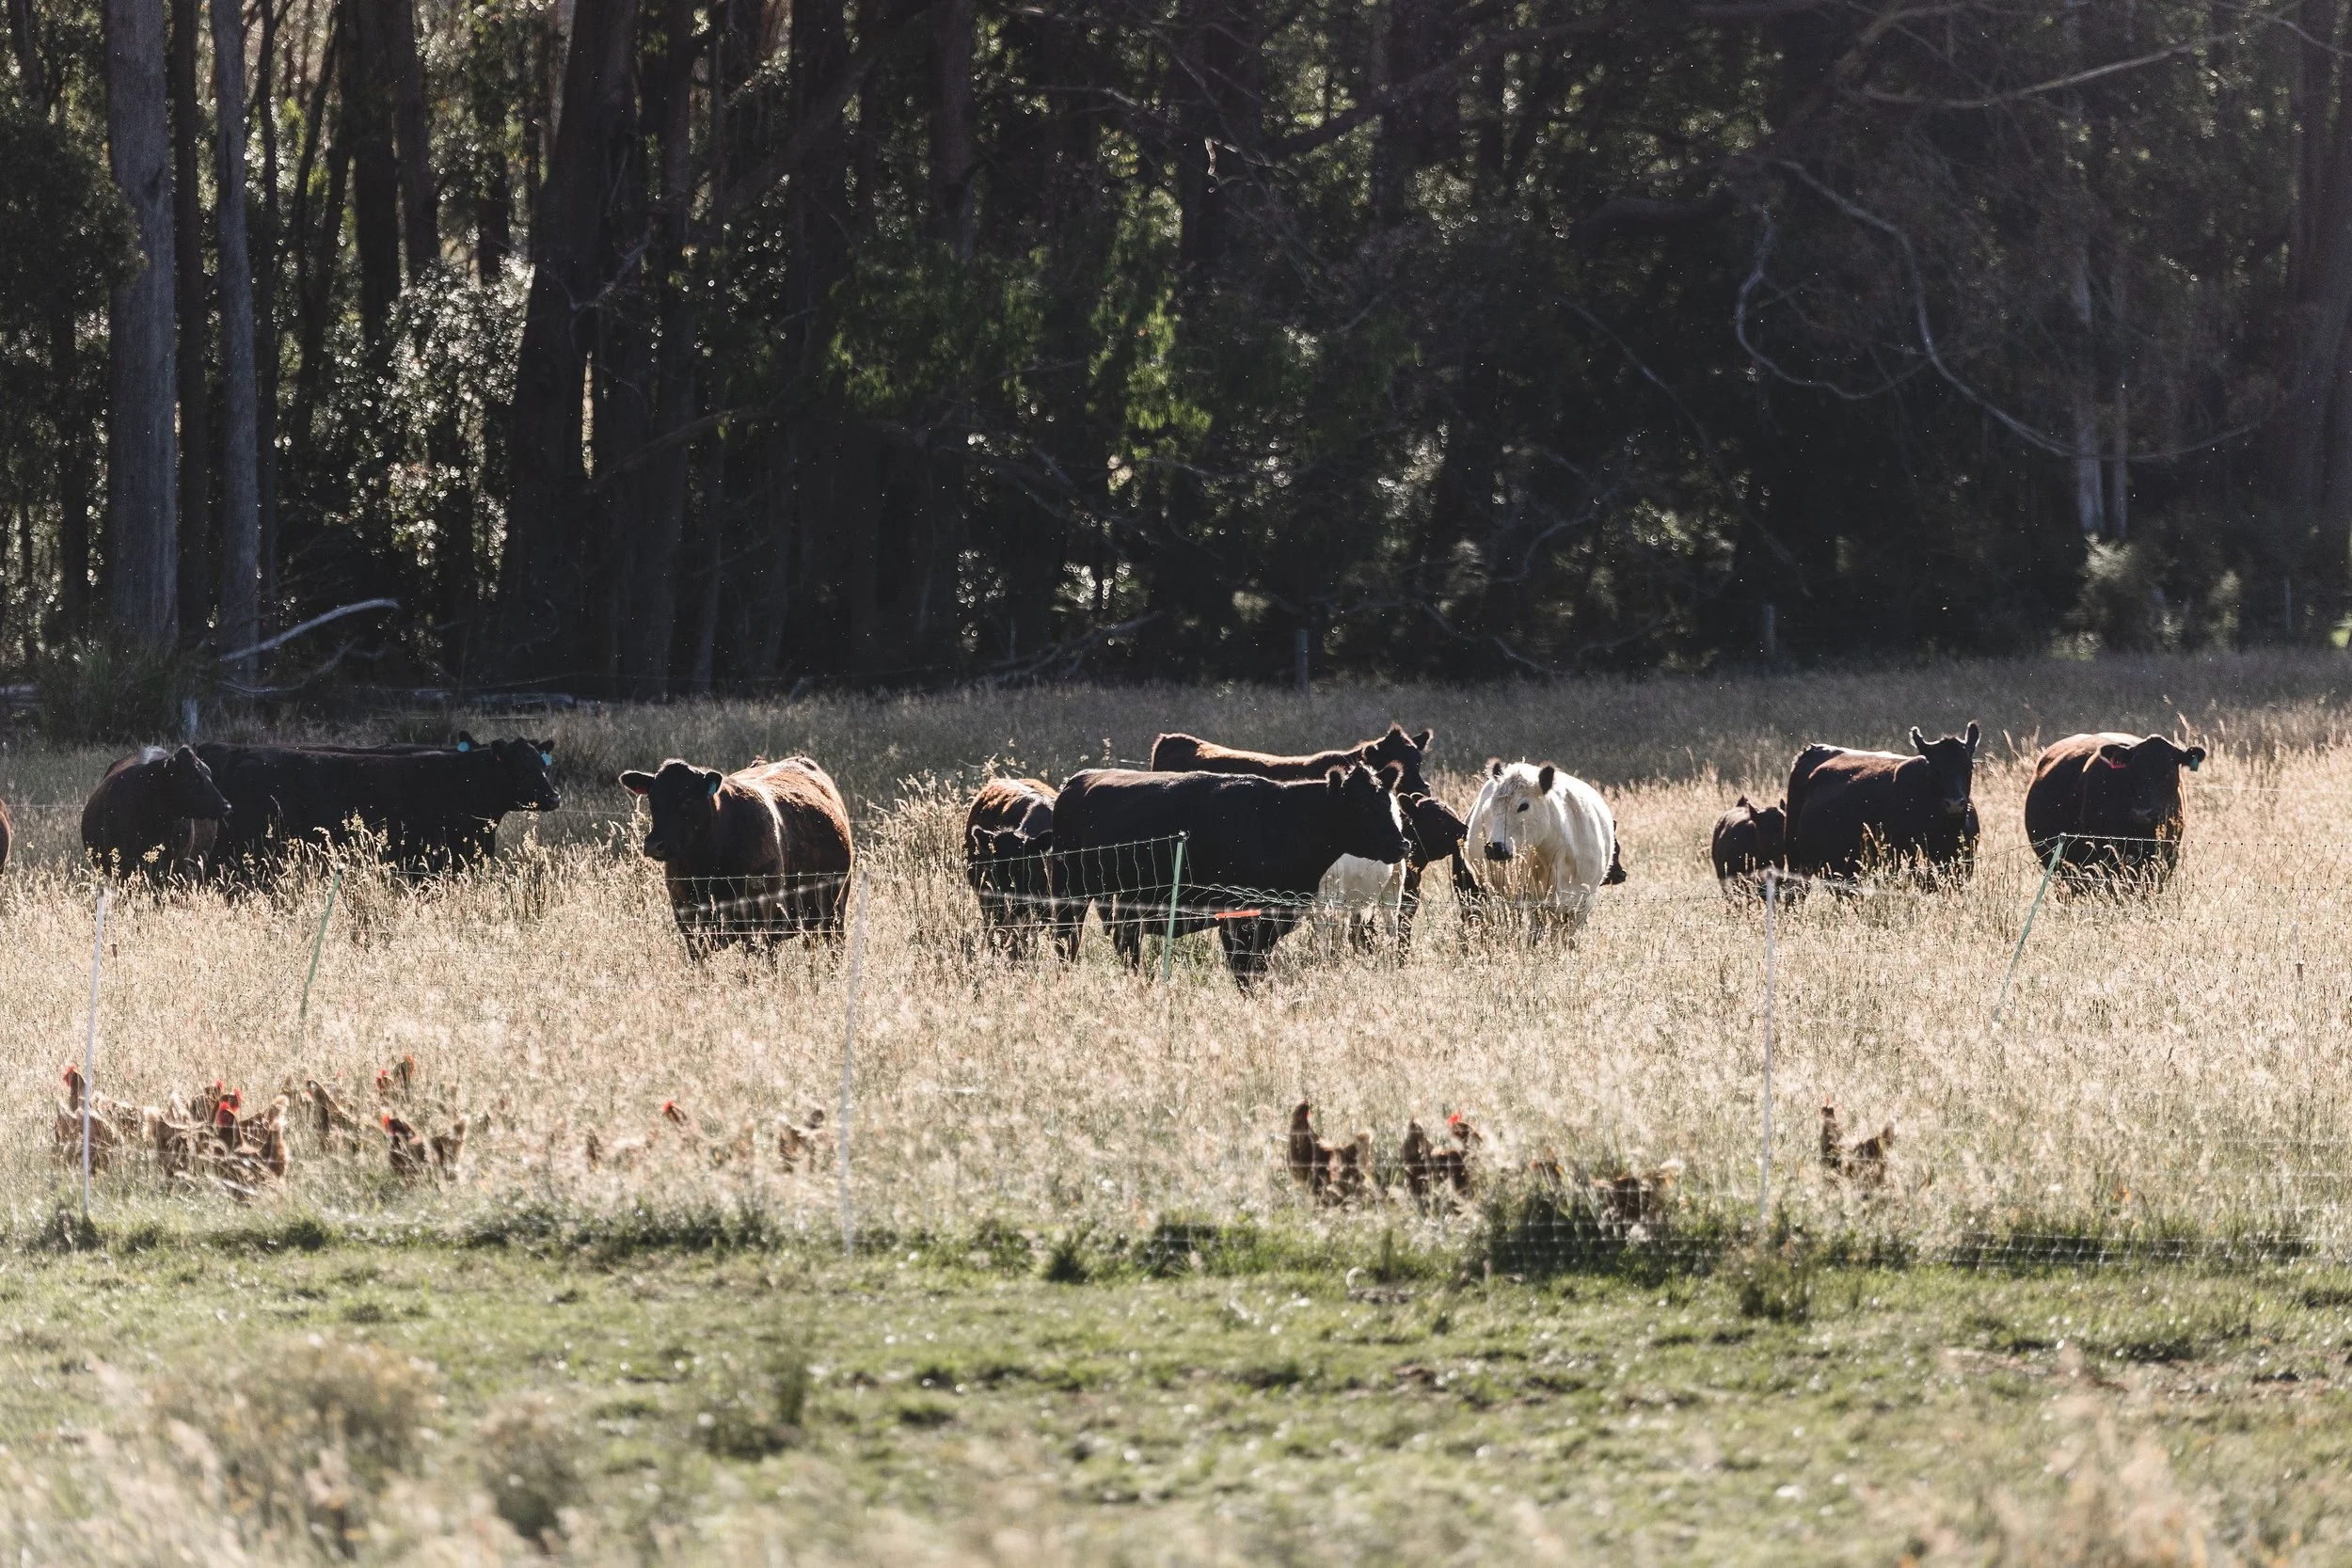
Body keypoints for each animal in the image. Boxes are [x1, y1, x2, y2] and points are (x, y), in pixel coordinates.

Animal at [619, 756, 855, 951]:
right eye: (652, 800)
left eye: (687, 800)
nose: (654, 845)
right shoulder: (688, 921)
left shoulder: (759, 917)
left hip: (835, 910)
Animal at [1051, 764, 1411, 985]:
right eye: (1361, 806)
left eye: (1390, 803)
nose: (1402, 844)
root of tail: (1078, 780)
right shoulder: (1238, 916)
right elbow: (1244, 969)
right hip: (1071, 893)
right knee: (1067, 941)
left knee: (1125, 944)